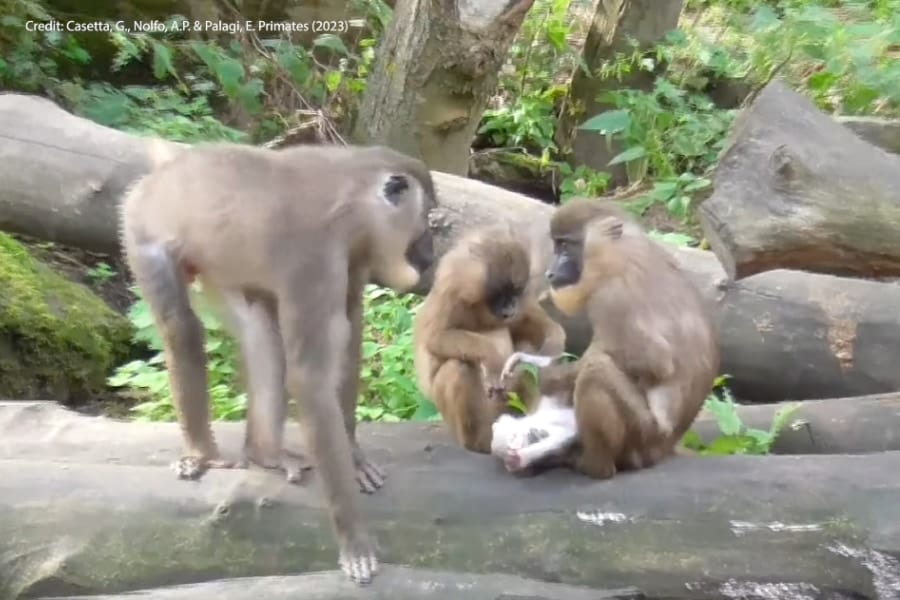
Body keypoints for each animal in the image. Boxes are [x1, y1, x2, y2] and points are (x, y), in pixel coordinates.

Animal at [118, 143, 436, 584]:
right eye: (426, 221)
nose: (431, 253)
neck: (351, 197)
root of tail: (160, 174)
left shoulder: (354, 252)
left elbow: (350, 331)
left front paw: (353, 456)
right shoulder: (315, 261)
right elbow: (310, 379)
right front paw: (354, 540)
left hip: (222, 269)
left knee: (261, 337)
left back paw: (264, 453)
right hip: (143, 233)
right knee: (180, 328)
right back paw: (202, 452)